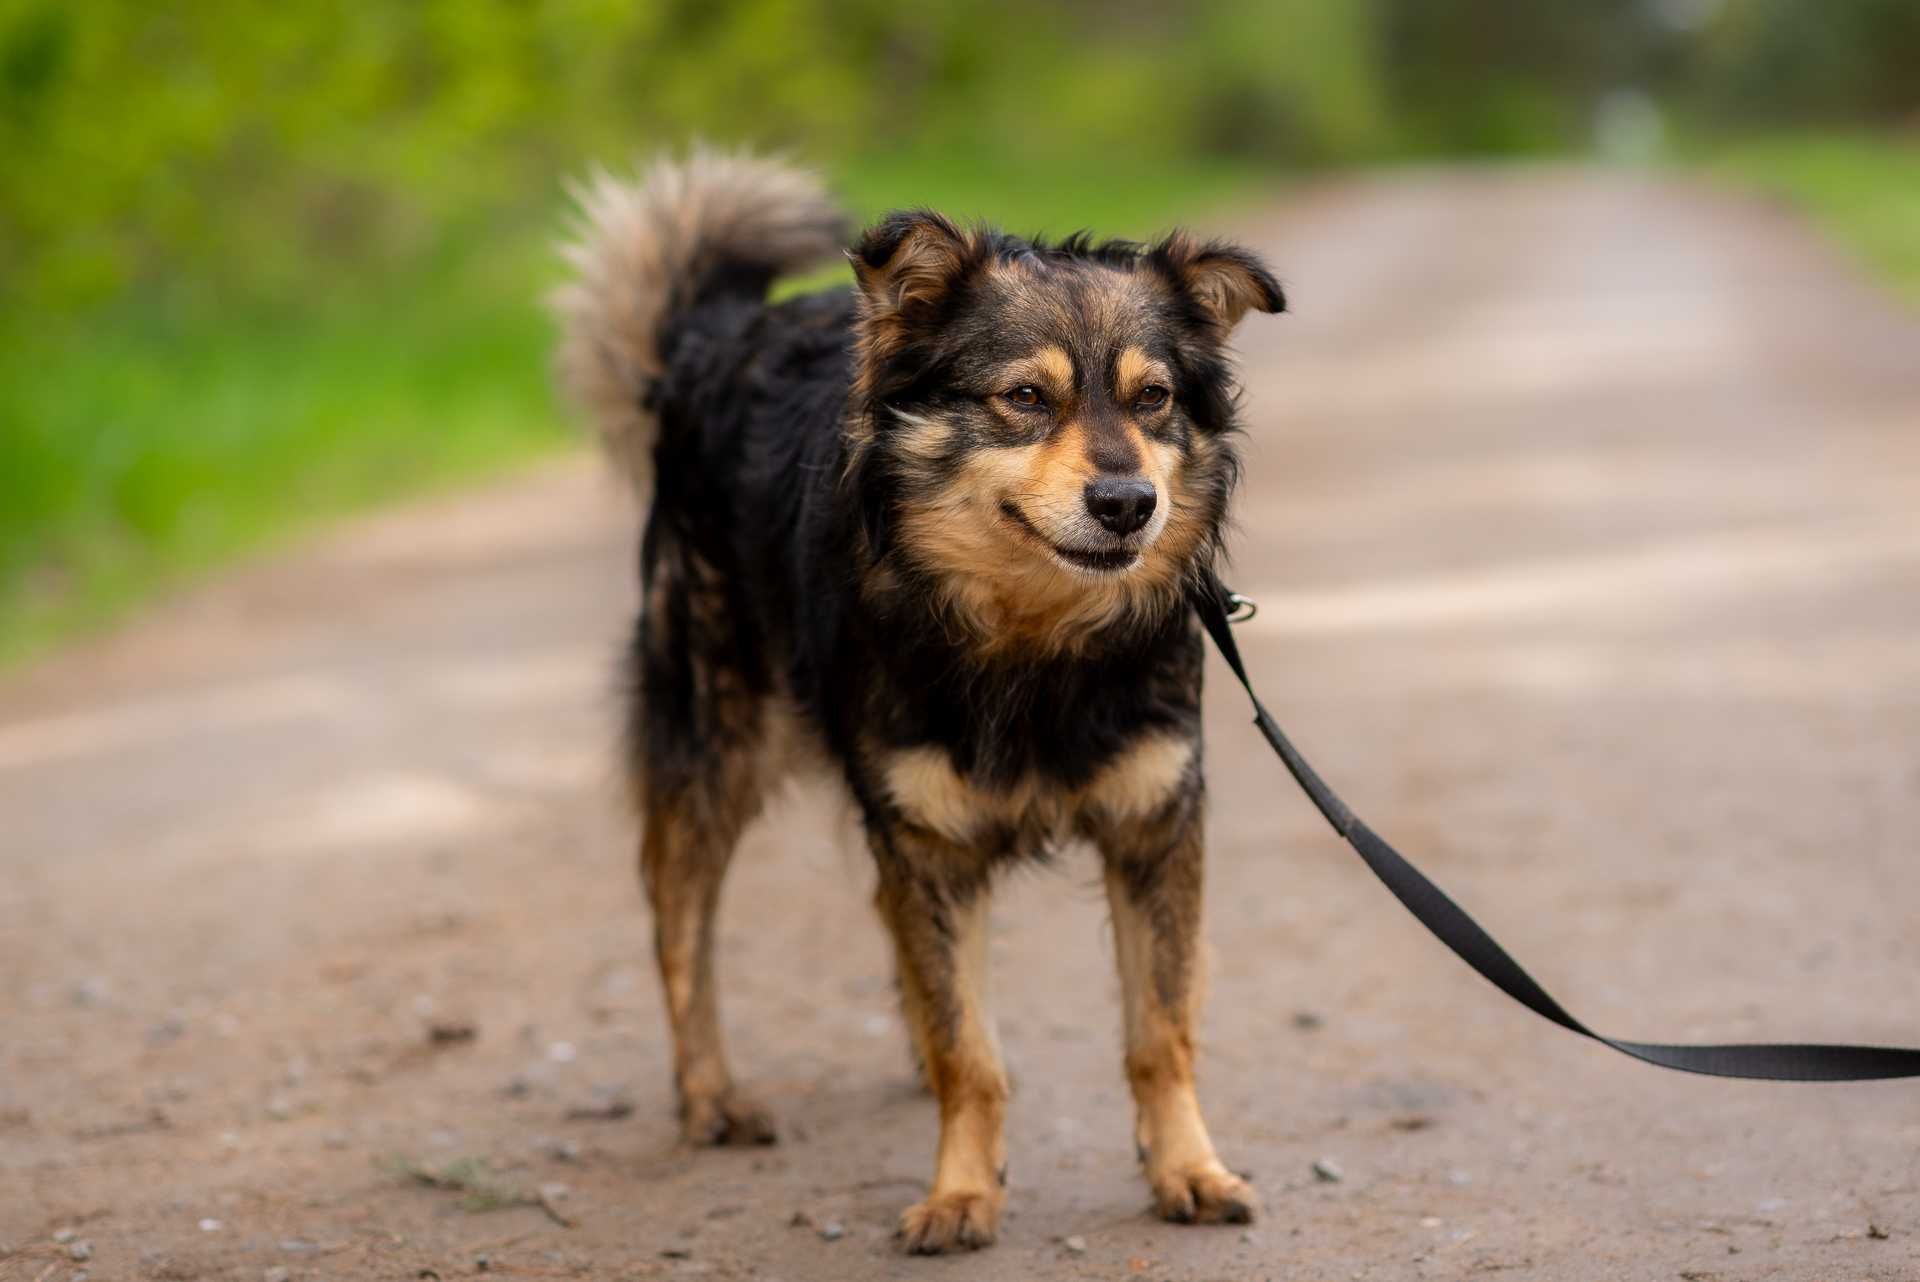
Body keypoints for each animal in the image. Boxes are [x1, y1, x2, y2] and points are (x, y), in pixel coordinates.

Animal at [549, 147, 1282, 1251]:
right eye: (1024, 397)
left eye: (1153, 398)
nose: (1128, 504)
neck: (1033, 635)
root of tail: (706, 343)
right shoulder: (928, 841)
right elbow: (967, 1048)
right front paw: (961, 1191)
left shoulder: (1155, 819)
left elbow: (1160, 1028)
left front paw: (1187, 1168)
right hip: (711, 744)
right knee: (680, 928)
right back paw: (711, 1096)